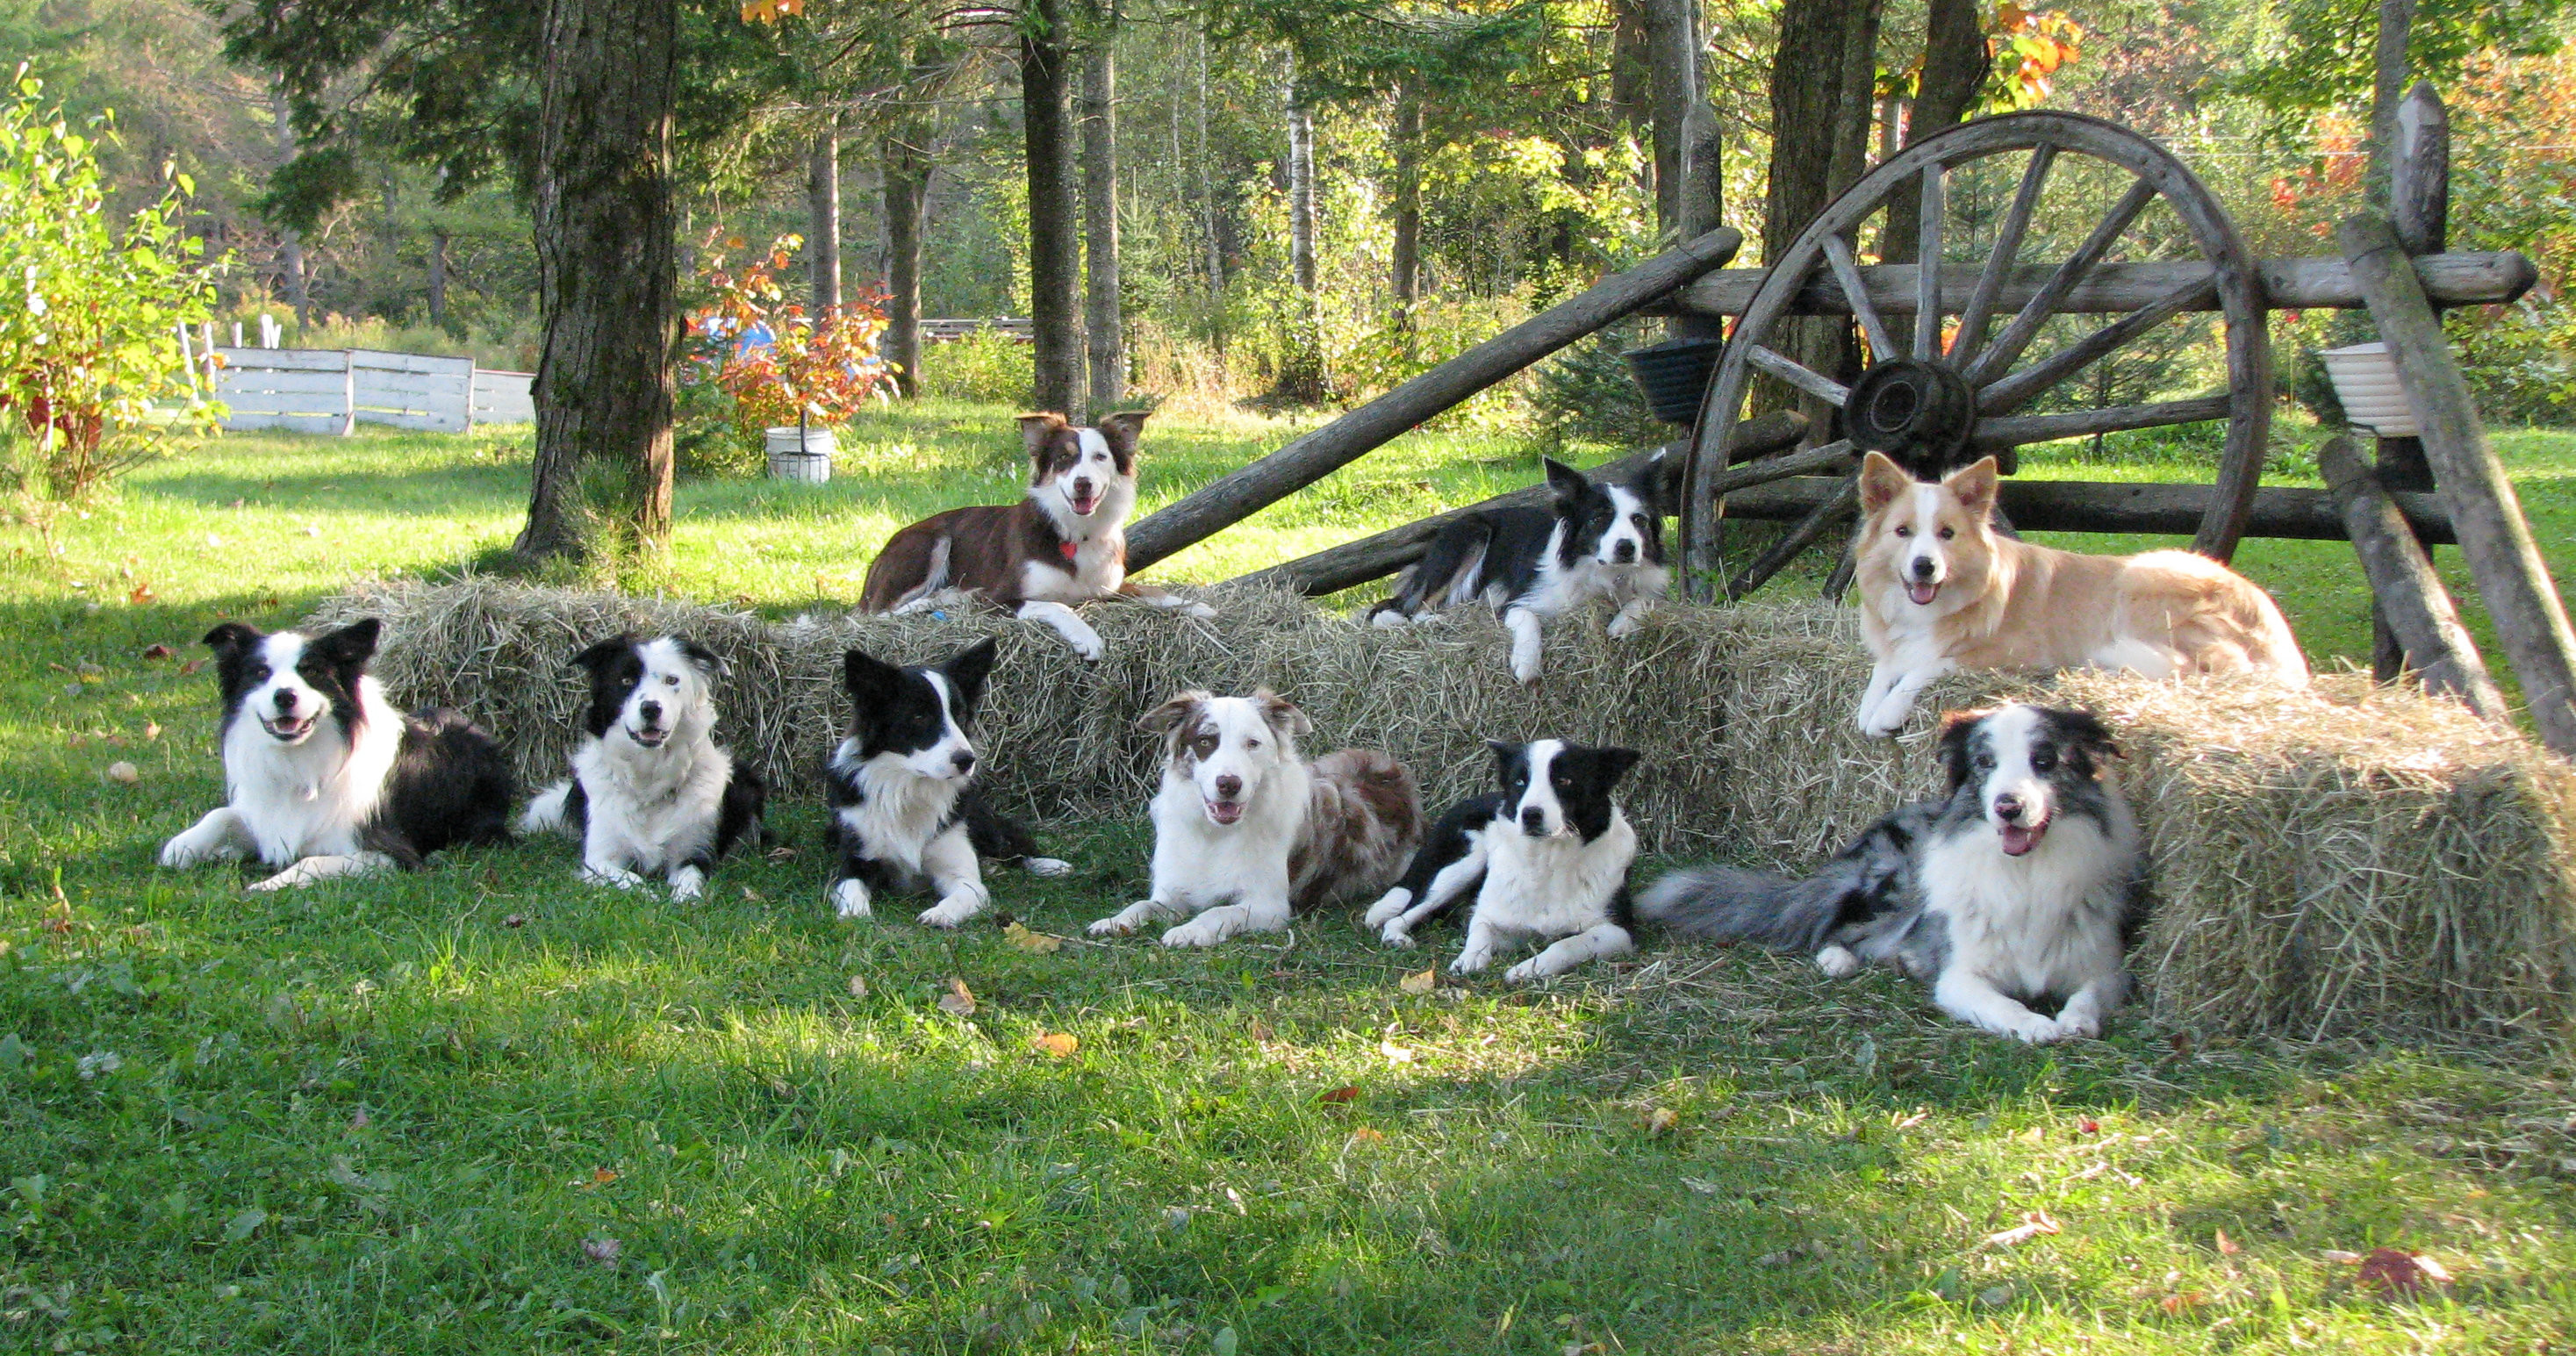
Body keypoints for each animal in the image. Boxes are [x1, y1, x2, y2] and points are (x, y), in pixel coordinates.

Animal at [1855, 453, 2318, 732]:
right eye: (1903, 532)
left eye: (1947, 534)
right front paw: (1869, 704)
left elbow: (1928, 666)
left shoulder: (2016, 654)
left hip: (2143, 578)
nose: (1925, 566)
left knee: (2203, 665)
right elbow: (1886, 667)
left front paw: (1887, 711)